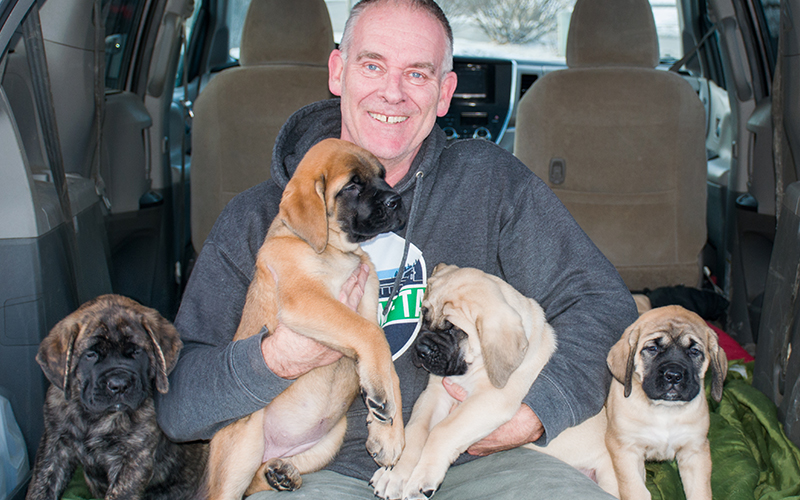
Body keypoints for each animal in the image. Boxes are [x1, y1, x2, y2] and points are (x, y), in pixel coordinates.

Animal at [27, 294, 208, 500]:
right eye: (91, 354)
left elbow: (119, 493)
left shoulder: (133, 458)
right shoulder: (54, 447)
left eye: (136, 352)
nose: (119, 385)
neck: (94, 418)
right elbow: (41, 486)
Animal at [206, 139, 406, 500]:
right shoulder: (307, 300)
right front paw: (383, 406)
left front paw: (389, 434)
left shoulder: (366, 308)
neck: (336, 252)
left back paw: (281, 473)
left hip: (329, 441)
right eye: (352, 185)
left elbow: (385, 360)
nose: (396, 199)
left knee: (258, 480)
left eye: (382, 175)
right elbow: (371, 337)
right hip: (242, 446)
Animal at [370, 264, 552, 498]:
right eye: (424, 317)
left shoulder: (490, 401)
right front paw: (394, 475)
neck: (475, 368)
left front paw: (420, 479)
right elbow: (416, 430)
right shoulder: (435, 394)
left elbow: (442, 431)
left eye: (454, 329)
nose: (421, 350)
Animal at [608, 304, 724, 500]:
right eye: (652, 348)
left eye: (694, 351)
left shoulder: (694, 450)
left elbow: (700, 491)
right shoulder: (626, 449)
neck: (665, 411)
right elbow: (635, 490)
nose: (674, 375)